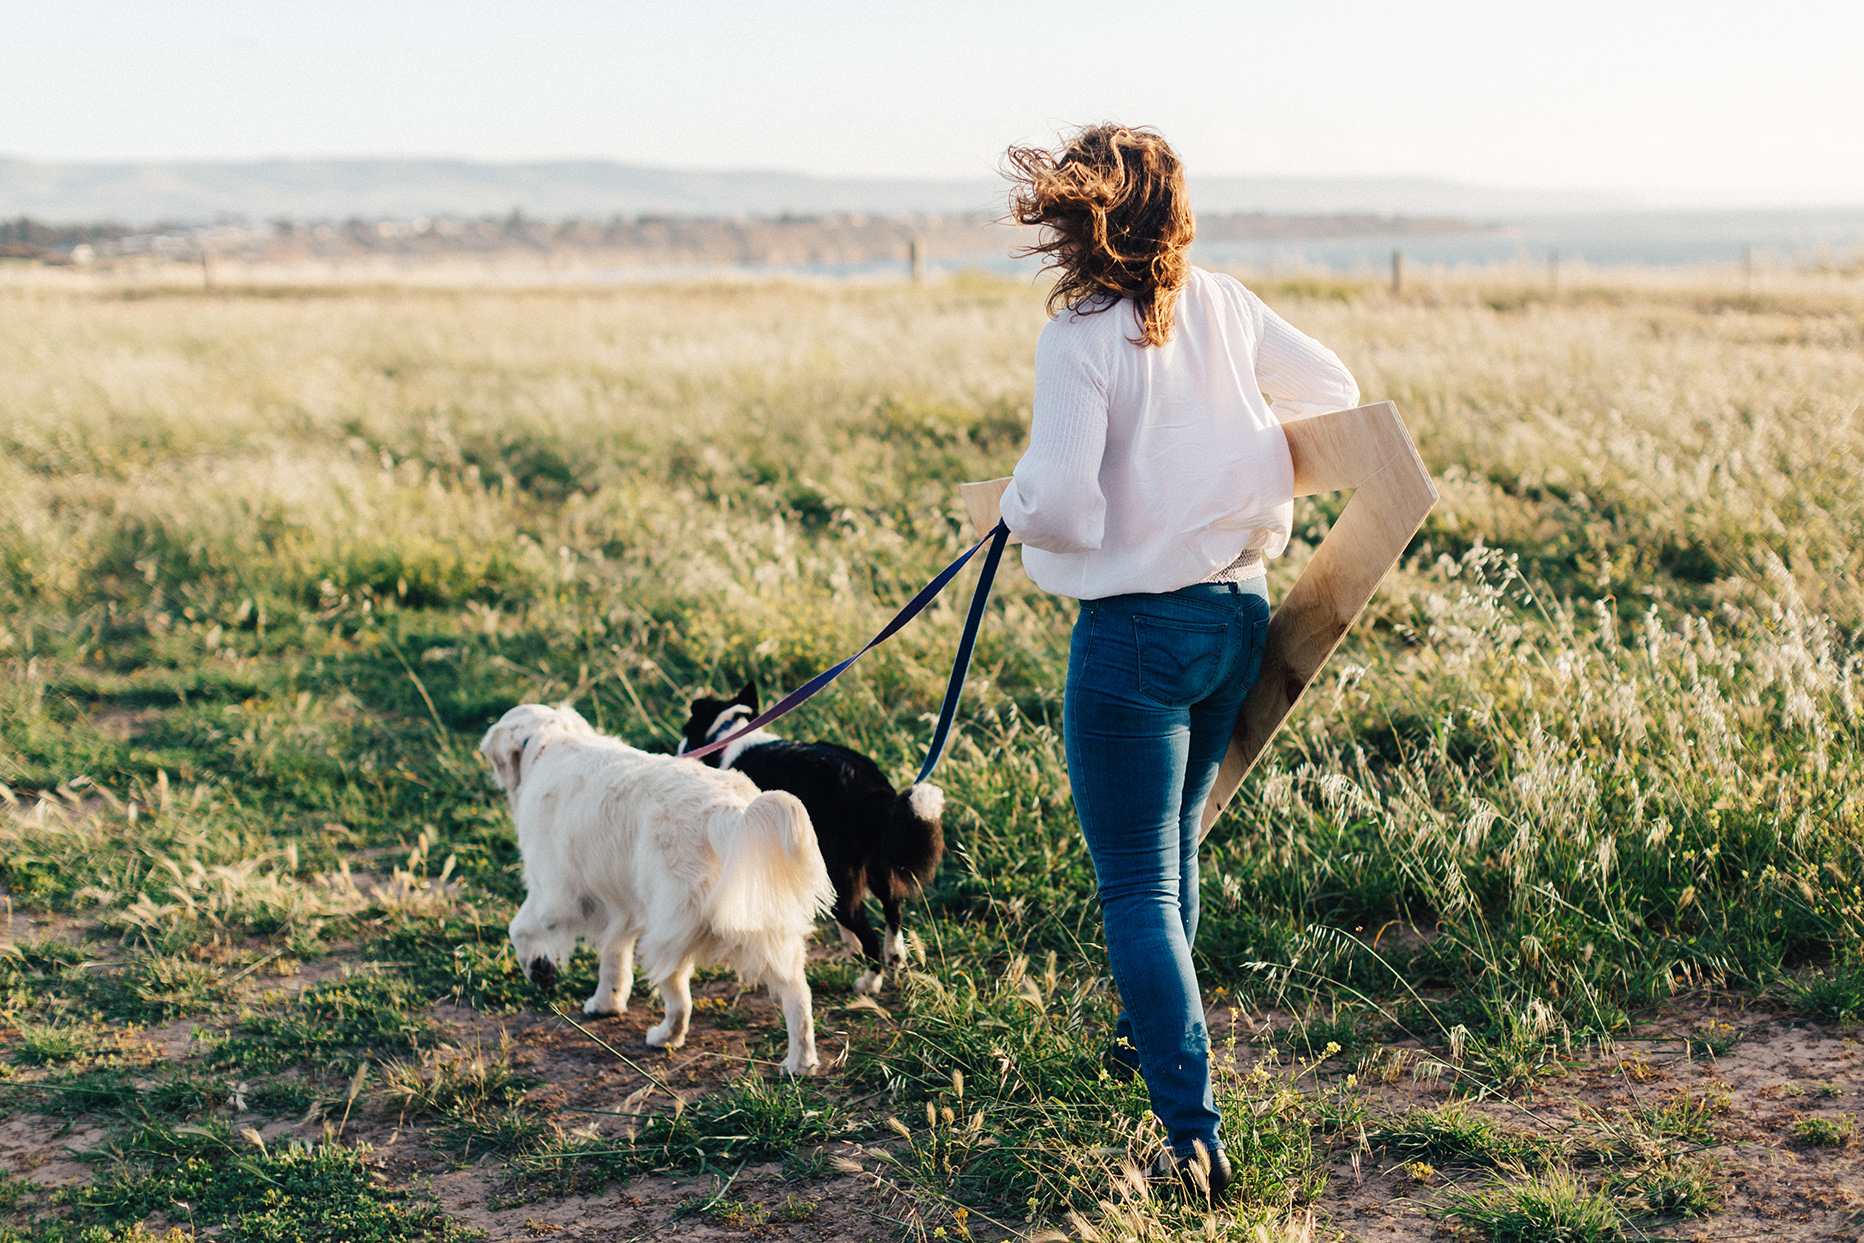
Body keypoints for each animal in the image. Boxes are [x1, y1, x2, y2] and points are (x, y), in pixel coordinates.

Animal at [484, 704, 835, 1073]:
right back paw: (801, 1063)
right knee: (798, 994)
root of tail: (724, 809)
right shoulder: (619, 906)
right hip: (766, 926)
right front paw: (606, 1002)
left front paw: (539, 970)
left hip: (667, 928)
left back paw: (665, 1036)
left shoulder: (551, 892)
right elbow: (613, 957)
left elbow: (519, 929)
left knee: (679, 997)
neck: (550, 741)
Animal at [682, 685, 946, 998]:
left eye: (687, 730)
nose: (680, 749)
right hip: (874, 863)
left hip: (839, 869)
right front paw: (850, 945)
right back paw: (893, 955)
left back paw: (869, 983)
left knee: (864, 928)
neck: (732, 734)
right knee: (892, 906)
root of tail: (864, 786)